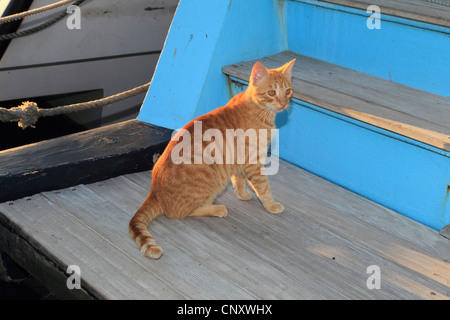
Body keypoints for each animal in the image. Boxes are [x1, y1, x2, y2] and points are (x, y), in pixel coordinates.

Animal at [127, 58, 296, 258]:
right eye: (271, 92)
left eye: (288, 91)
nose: (284, 103)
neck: (258, 109)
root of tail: (155, 192)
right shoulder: (253, 163)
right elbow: (263, 188)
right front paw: (271, 205)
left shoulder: (238, 161)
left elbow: (239, 181)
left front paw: (243, 195)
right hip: (212, 183)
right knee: (180, 213)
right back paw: (217, 208)